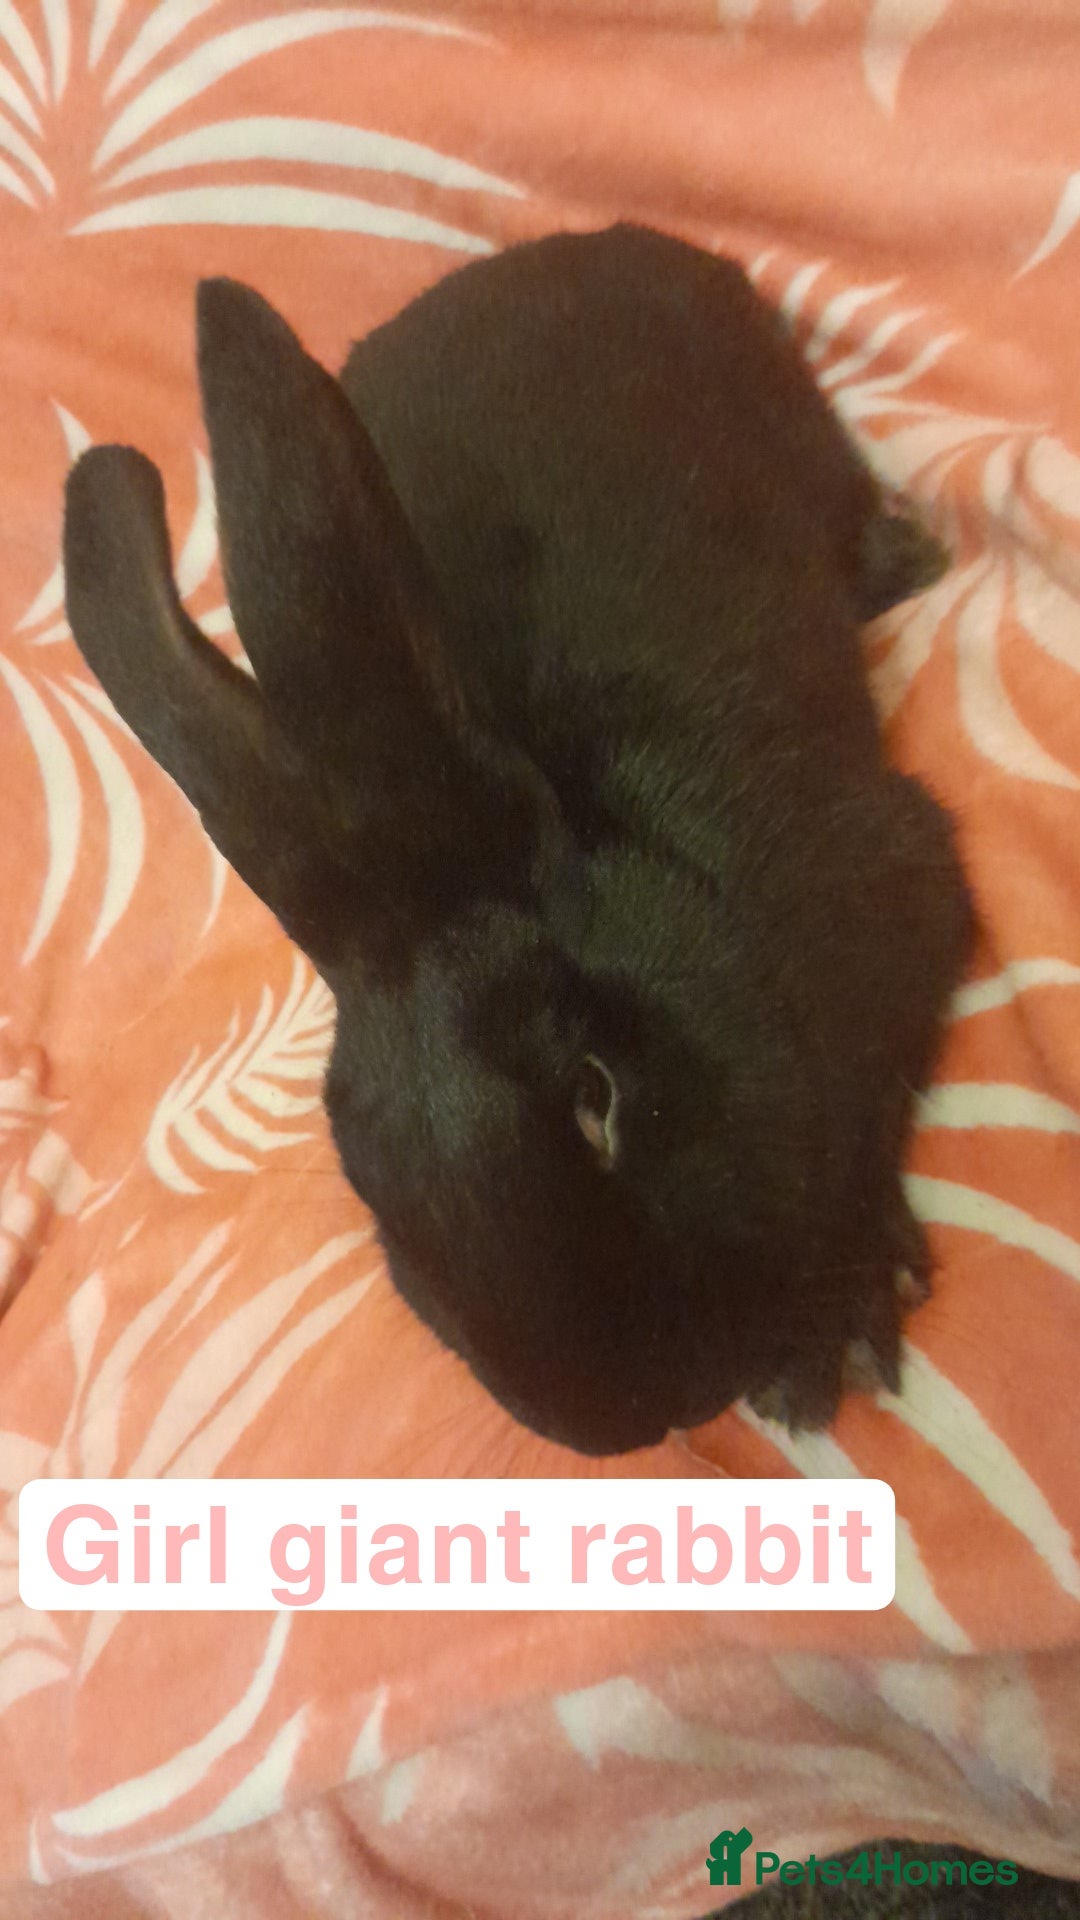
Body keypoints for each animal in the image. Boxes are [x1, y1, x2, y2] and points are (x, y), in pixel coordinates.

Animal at [63, 223, 973, 1456]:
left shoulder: (909, 880)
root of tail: (554, 249)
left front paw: (842, 1322)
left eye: (597, 1097)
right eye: (376, 1195)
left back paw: (905, 554)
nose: (633, 1414)